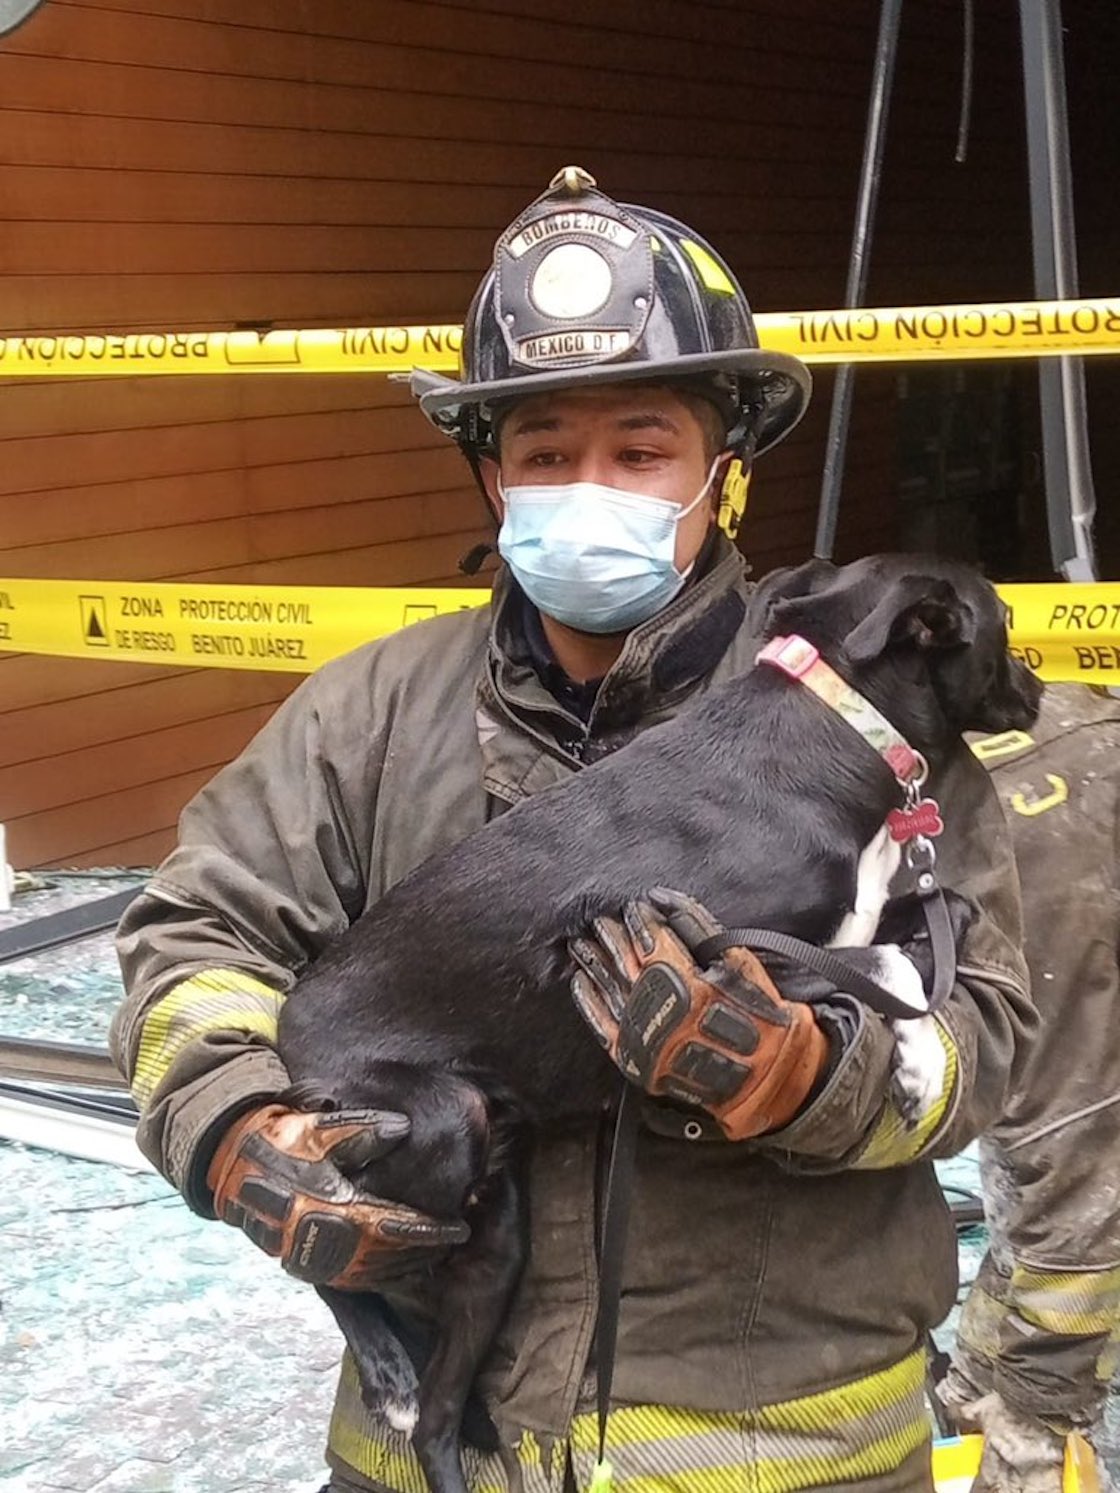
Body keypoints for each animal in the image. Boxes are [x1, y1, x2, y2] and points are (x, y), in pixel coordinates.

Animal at [279, 558, 1045, 1493]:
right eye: (1005, 618)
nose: (1042, 688)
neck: (834, 722)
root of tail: (292, 1011)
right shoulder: (732, 948)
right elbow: (890, 968)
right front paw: (921, 1065)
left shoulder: (834, 935)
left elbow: (942, 919)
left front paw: (914, 1045)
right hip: (438, 1131)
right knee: (335, 1251)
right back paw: (387, 1365)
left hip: (497, 1233)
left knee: (435, 1416)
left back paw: (422, 1397)